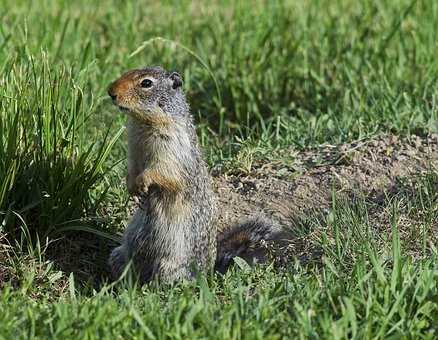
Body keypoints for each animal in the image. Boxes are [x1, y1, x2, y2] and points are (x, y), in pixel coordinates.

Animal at [108, 65, 282, 282]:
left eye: (146, 83)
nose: (110, 92)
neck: (143, 124)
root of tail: (208, 272)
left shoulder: (171, 148)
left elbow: (162, 170)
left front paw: (143, 182)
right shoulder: (133, 149)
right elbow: (132, 167)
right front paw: (132, 187)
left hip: (168, 267)